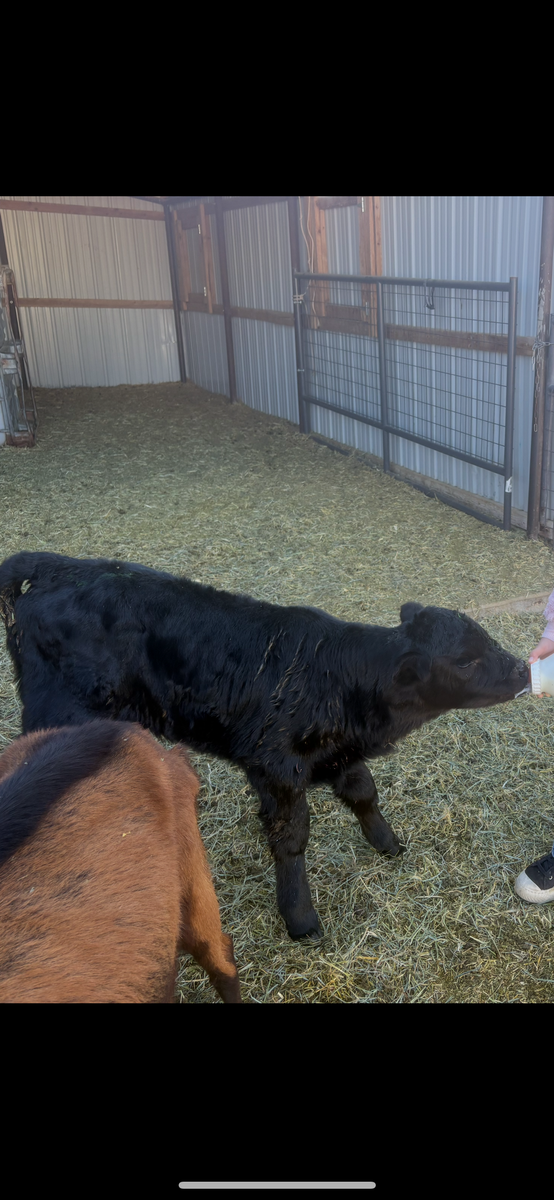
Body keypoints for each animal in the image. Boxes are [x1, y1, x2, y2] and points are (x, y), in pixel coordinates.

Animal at [0, 550, 529, 942]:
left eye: (487, 638)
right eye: (464, 661)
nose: (524, 669)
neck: (343, 681)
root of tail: (54, 565)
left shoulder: (329, 755)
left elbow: (363, 793)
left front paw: (387, 843)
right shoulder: (279, 766)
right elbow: (292, 838)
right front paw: (300, 918)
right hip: (56, 712)